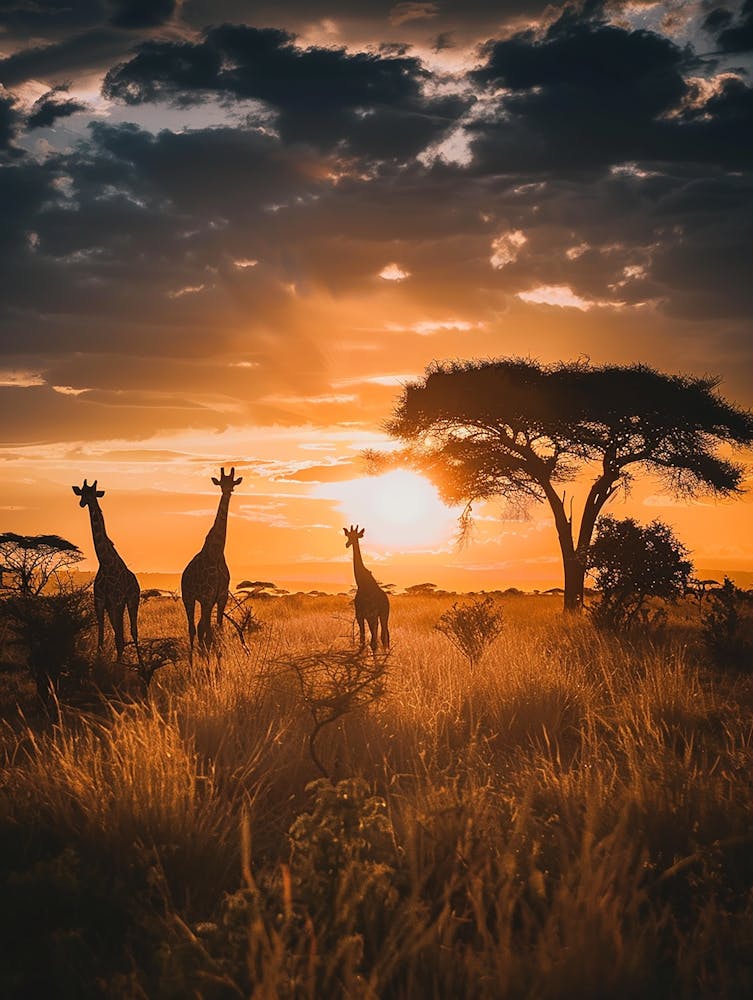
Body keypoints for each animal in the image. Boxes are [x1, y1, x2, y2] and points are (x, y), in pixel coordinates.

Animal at [72, 478, 140, 661]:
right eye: (82, 492)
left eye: (92, 493)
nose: (82, 503)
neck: (105, 562)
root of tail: (137, 583)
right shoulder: (101, 601)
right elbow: (101, 637)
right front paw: (100, 661)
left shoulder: (117, 600)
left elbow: (119, 637)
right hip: (113, 607)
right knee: (120, 634)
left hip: (132, 600)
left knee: (133, 632)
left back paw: (140, 664)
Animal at [181, 466, 242, 661]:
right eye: (221, 483)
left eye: (232, 484)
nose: (227, 491)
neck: (216, 553)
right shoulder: (207, 597)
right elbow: (208, 633)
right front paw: (209, 663)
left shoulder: (221, 597)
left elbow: (218, 630)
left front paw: (217, 661)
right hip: (188, 597)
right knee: (192, 628)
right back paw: (193, 662)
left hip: (203, 602)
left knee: (200, 628)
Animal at [343, 525, 390, 653]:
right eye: (348, 536)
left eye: (355, 536)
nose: (347, 544)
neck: (361, 582)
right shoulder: (363, 614)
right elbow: (363, 639)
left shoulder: (364, 614)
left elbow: (367, 641)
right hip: (381, 615)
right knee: (384, 636)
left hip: (378, 615)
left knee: (379, 638)